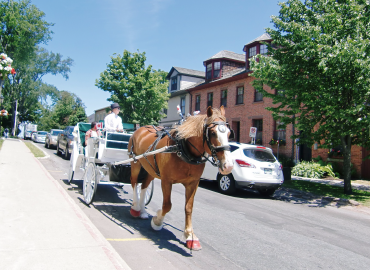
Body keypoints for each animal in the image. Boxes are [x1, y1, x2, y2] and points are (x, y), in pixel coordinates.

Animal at [126, 106, 231, 251]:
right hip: (135, 162)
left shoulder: (193, 183)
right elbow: (167, 206)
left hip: (150, 169)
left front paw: (190, 235)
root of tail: (140, 129)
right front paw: (157, 221)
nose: (228, 166)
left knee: (144, 186)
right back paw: (135, 208)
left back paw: (142, 211)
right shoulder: (166, 181)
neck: (182, 148)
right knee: (134, 182)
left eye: (229, 134)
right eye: (213, 133)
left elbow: (189, 208)